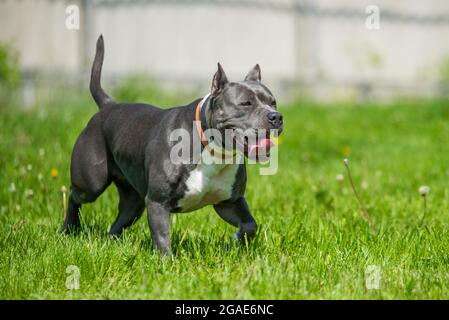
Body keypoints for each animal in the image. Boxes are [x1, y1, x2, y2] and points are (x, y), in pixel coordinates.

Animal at [61, 35, 282, 254]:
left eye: (273, 102)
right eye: (246, 104)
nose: (276, 117)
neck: (213, 149)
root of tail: (108, 105)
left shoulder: (230, 202)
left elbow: (250, 225)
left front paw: (236, 239)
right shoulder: (158, 202)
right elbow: (162, 236)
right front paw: (167, 261)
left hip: (134, 201)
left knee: (120, 219)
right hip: (91, 184)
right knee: (74, 195)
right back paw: (69, 229)